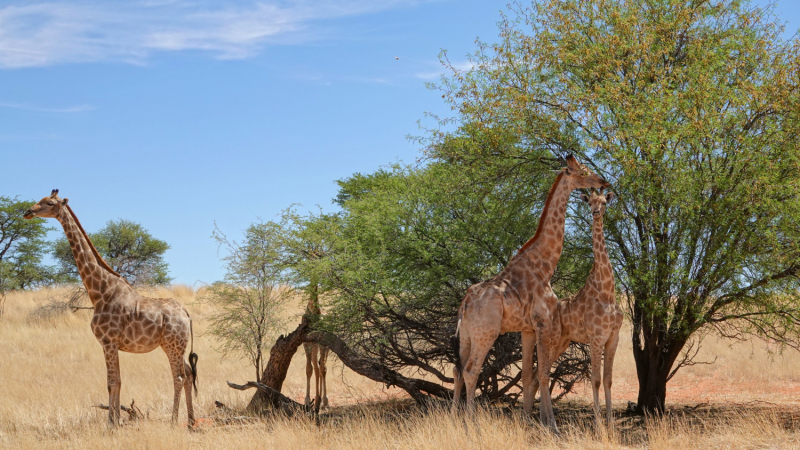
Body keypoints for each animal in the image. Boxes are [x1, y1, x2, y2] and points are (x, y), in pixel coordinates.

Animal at [22, 190, 198, 428]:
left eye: (48, 203)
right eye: (39, 200)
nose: (27, 212)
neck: (99, 292)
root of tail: (187, 315)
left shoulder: (108, 341)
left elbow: (112, 382)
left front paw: (112, 424)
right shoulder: (111, 344)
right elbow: (117, 381)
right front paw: (116, 421)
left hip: (173, 344)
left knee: (179, 377)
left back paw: (173, 422)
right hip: (175, 345)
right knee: (188, 374)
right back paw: (190, 422)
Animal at [450, 156, 608, 432]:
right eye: (583, 172)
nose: (602, 180)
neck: (545, 265)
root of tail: (465, 304)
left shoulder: (527, 329)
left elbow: (526, 374)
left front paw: (526, 421)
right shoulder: (543, 323)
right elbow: (543, 373)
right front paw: (552, 426)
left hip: (467, 336)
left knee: (458, 371)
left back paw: (452, 420)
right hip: (485, 334)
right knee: (471, 371)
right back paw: (471, 424)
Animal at [532, 188, 624, 430]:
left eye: (604, 202)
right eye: (590, 201)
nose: (595, 212)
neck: (607, 290)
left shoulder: (613, 337)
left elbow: (609, 379)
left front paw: (611, 423)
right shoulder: (596, 337)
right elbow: (596, 379)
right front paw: (599, 424)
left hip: (563, 342)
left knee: (538, 374)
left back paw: (544, 421)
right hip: (552, 338)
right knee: (542, 373)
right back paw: (550, 424)